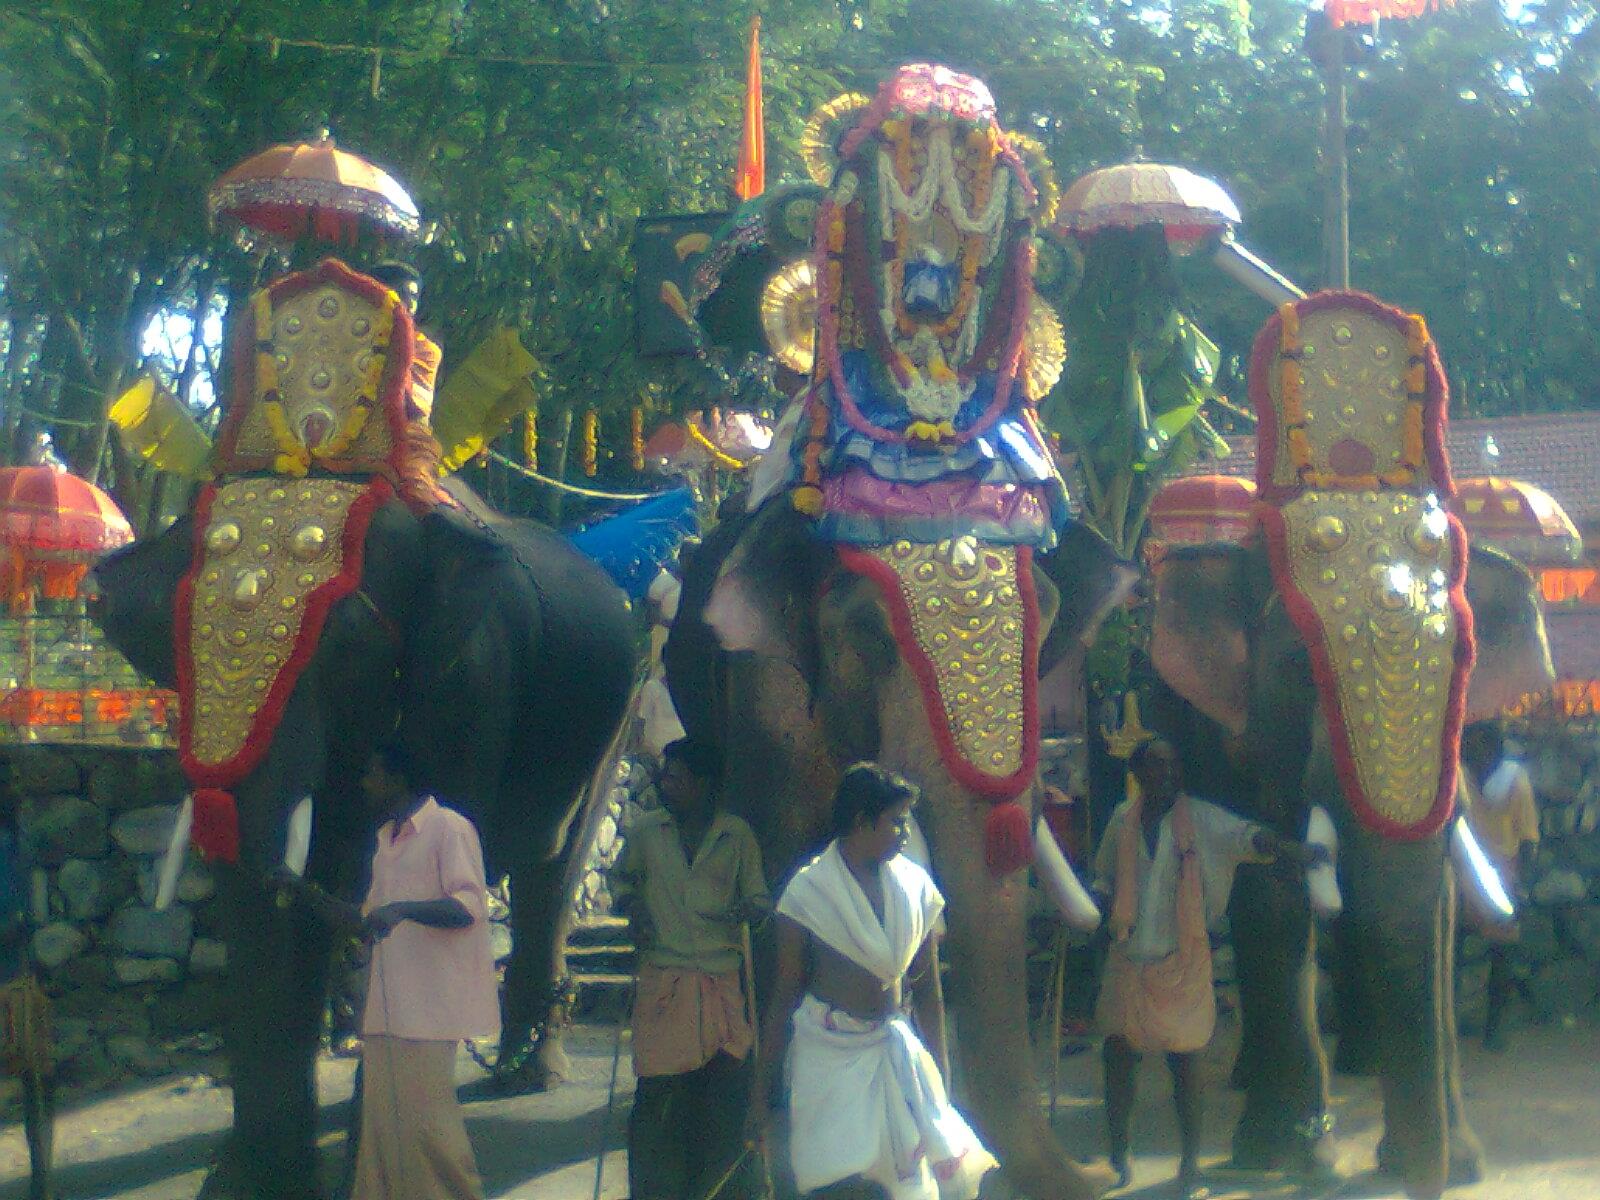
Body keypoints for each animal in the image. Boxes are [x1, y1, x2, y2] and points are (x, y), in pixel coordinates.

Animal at [90, 260, 633, 1200]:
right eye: (172, 635)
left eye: (346, 642)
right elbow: (280, 901)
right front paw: (250, 1179)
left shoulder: (471, 680)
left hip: (623, 702)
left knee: (553, 868)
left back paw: (526, 1072)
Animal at [1145, 294, 1555, 1200]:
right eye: (1301, 669)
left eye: (1464, 667)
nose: (1422, 1175)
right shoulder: (1235, 736)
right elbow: (1270, 890)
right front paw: (1287, 1159)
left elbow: (1432, 905)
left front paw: (1452, 1160)